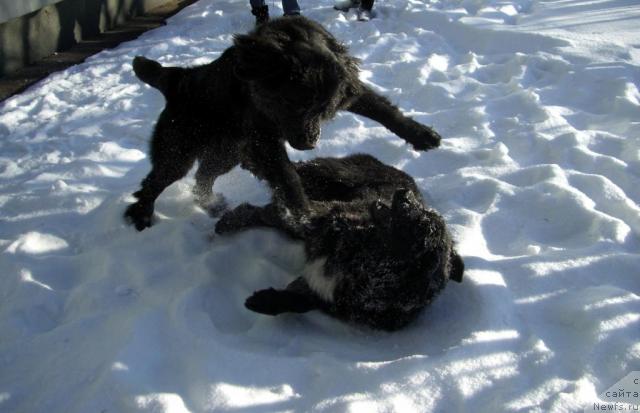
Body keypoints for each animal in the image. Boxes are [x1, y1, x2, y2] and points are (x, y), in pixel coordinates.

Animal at [124, 16, 440, 229]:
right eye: (293, 104)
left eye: (324, 109)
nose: (310, 143)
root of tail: (177, 79)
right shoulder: (262, 137)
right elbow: (287, 176)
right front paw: (303, 212)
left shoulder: (350, 90)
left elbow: (384, 111)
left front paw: (422, 135)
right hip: (179, 151)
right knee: (153, 182)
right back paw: (141, 215)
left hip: (228, 152)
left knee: (203, 176)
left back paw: (211, 204)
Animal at [218, 154, 462, 332]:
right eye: (422, 212)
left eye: (420, 218)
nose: (405, 193)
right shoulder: (326, 215)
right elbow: (299, 203)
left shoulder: (329, 297)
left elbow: (299, 302)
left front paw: (264, 300)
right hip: (328, 175)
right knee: (289, 173)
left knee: (267, 210)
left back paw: (231, 220)